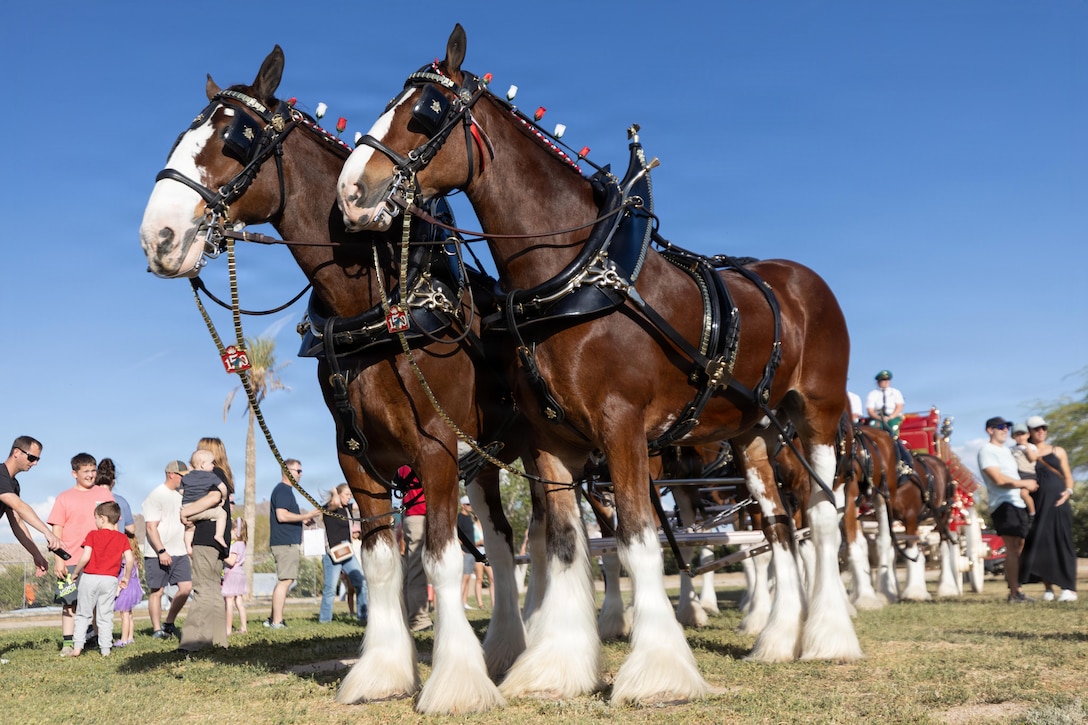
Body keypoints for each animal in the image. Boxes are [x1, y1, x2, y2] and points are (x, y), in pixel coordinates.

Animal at [138, 46, 531, 714]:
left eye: (235, 140)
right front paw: (383, 673)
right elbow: (381, 562)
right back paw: (509, 648)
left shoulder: (435, 447)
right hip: (486, 459)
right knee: (506, 542)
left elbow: (441, 558)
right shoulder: (357, 455)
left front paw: (454, 683)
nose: (157, 238)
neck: (374, 301)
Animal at [335, 24, 862, 705]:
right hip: (753, 433)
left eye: (424, 113)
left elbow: (637, 541)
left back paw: (829, 638)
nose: (350, 191)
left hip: (816, 414)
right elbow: (566, 545)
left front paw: (659, 671)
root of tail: (803, 280)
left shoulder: (622, 428)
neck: (574, 273)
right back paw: (777, 639)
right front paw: (554, 667)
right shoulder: (551, 439)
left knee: (820, 517)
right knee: (775, 525)